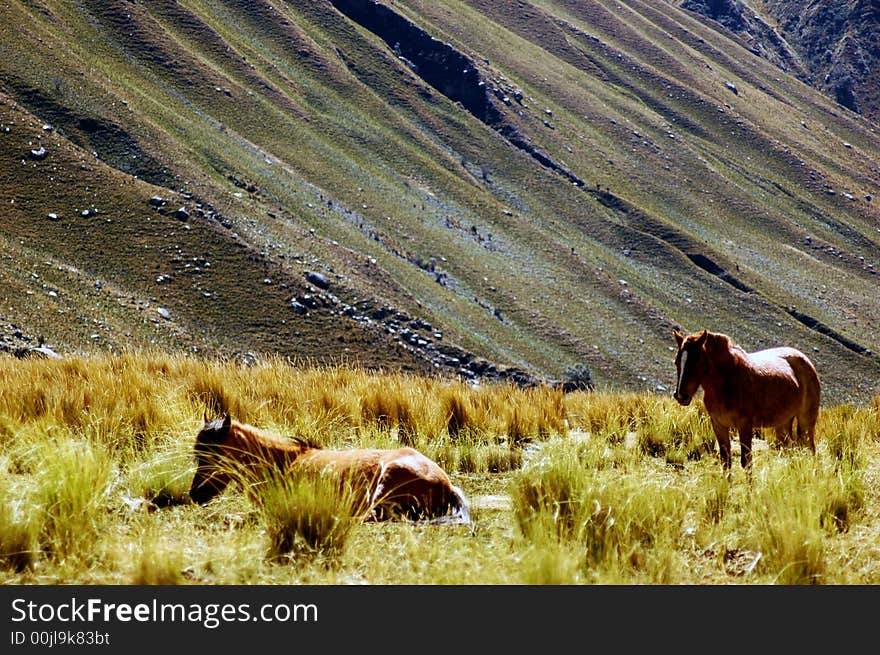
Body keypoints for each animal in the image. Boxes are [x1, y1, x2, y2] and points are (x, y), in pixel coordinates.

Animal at [672, 330, 820, 468]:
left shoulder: (744, 425)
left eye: (696, 361)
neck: (726, 381)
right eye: (676, 362)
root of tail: (807, 362)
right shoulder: (719, 425)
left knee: (810, 449)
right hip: (783, 423)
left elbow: (746, 461)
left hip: (806, 421)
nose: (681, 395)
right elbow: (726, 461)